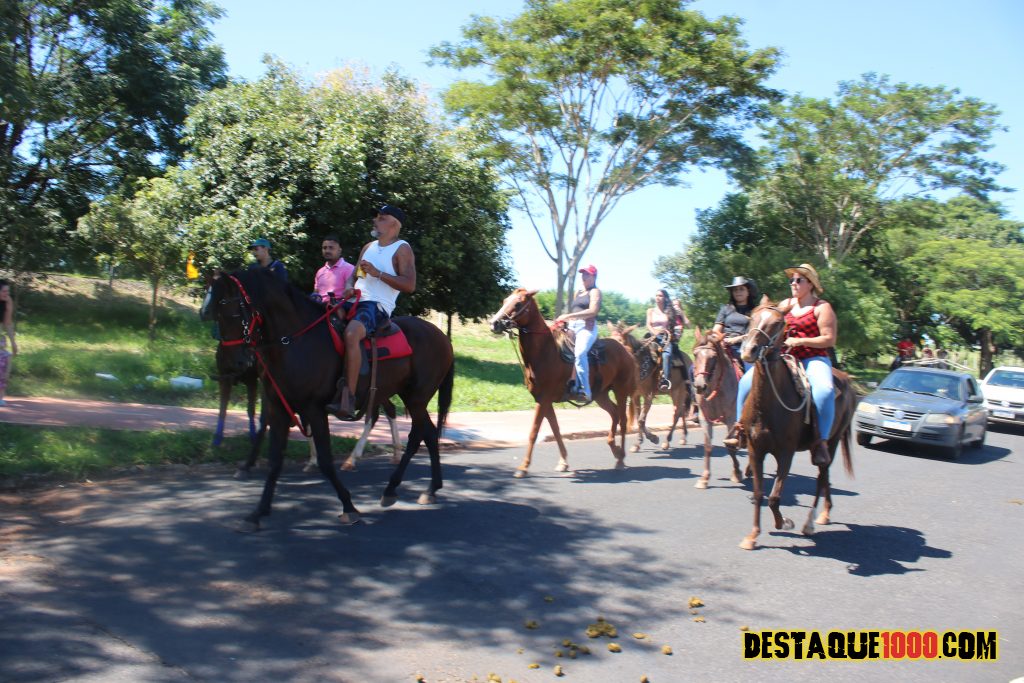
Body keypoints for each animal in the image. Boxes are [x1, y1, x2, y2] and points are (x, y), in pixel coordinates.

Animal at [202, 268, 454, 531]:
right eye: (213, 315)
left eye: (233, 312)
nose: (237, 362)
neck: (295, 341)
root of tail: (442, 337)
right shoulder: (280, 407)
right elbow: (275, 459)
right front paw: (257, 512)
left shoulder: (313, 408)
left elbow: (325, 460)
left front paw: (349, 507)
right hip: (407, 396)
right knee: (426, 434)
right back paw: (421, 489)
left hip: (416, 398)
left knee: (419, 435)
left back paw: (403, 487)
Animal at [490, 289, 637, 477]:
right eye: (504, 300)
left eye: (518, 303)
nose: (494, 323)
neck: (545, 352)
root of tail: (626, 350)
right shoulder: (543, 400)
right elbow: (556, 429)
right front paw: (563, 462)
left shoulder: (544, 399)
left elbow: (534, 432)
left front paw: (523, 467)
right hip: (601, 394)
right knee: (614, 414)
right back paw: (615, 450)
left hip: (621, 390)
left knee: (623, 420)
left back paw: (621, 458)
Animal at [607, 322, 690, 453]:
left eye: (620, 341)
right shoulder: (635, 396)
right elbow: (639, 418)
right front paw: (638, 443)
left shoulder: (648, 396)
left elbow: (641, 420)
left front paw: (653, 438)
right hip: (673, 392)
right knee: (681, 411)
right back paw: (683, 437)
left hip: (680, 391)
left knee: (677, 413)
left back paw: (667, 441)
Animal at [690, 326, 745, 488]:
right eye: (695, 354)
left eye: (713, 357)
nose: (700, 386)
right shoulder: (705, 418)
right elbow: (708, 446)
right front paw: (704, 478)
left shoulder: (732, 419)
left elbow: (730, 446)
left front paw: (737, 473)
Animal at [736, 297, 856, 550]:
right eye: (752, 317)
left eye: (778, 323)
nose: (749, 350)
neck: (769, 404)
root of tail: (847, 382)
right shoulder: (755, 449)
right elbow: (759, 493)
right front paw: (752, 536)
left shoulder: (786, 453)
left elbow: (774, 497)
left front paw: (784, 522)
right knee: (825, 478)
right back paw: (825, 514)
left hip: (831, 443)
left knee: (821, 478)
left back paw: (810, 523)